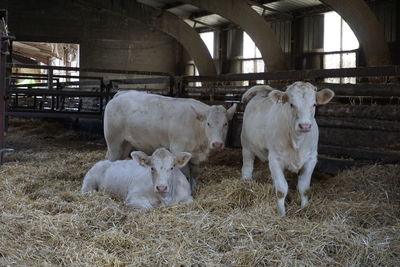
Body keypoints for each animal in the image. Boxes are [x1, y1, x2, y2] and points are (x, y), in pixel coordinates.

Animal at [241, 81, 334, 216]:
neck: (297, 141)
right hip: (246, 145)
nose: (305, 125)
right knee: (247, 168)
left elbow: (304, 188)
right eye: (291, 104)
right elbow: (281, 190)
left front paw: (304, 209)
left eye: (314, 104)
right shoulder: (275, 159)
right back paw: (246, 183)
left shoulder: (311, 159)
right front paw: (282, 214)